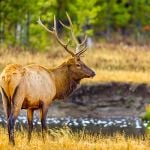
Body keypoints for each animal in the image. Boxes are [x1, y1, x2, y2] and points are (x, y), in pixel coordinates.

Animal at [0, 13, 95, 145]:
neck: (55, 82)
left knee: (7, 120)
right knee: (11, 120)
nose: (93, 73)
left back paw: (10, 142)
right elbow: (44, 125)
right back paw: (12, 144)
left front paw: (28, 143)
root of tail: (7, 76)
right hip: (18, 97)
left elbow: (30, 126)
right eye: (78, 64)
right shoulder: (45, 101)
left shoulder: (31, 106)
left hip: (4, 98)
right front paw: (45, 142)